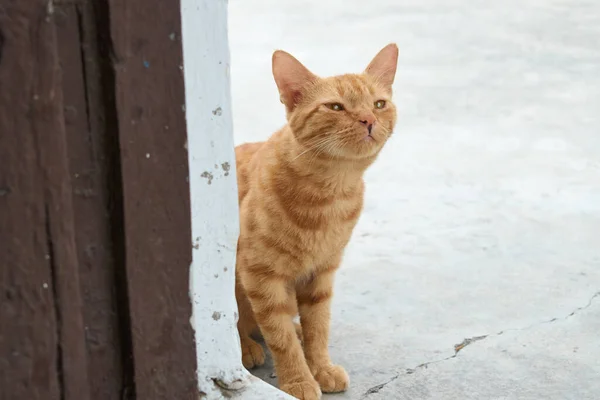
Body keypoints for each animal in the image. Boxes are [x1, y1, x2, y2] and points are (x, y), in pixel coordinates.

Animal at [234, 44, 398, 400]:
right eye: (335, 107)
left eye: (379, 104)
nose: (368, 119)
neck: (328, 197)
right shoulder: (260, 276)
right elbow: (279, 337)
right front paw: (298, 380)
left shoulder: (322, 272)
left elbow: (319, 326)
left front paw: (320, 367)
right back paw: (247, 347)